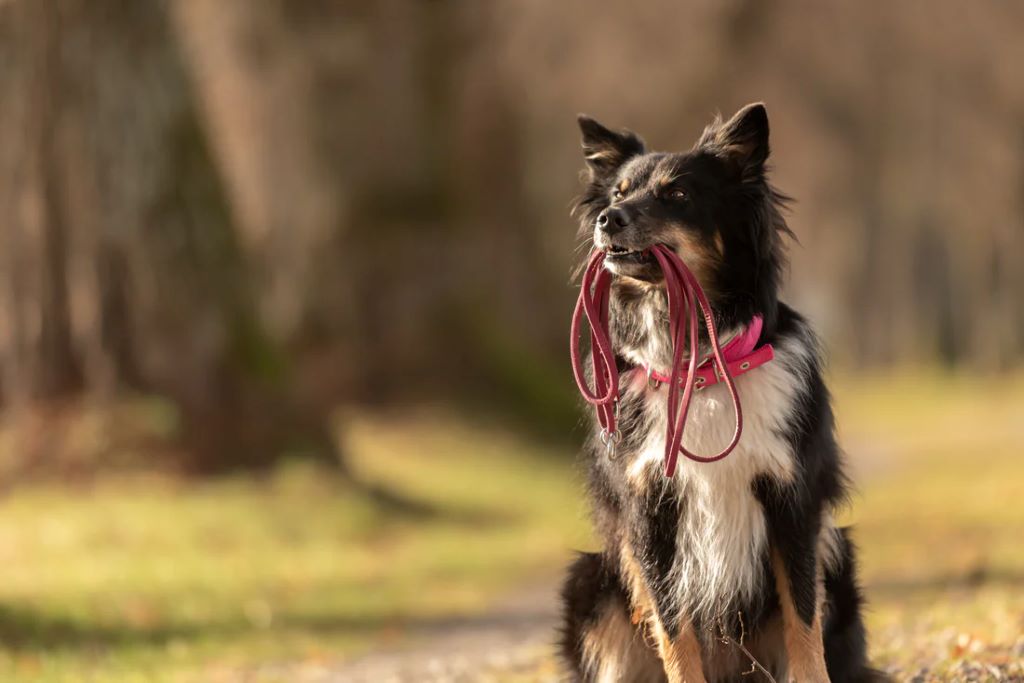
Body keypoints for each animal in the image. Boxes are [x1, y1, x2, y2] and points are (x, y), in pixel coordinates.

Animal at [557, 102, 884, 683]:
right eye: (618, 192)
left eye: (678, 194)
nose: (608, 219)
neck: (702, 372)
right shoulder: (650, 512)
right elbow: (675, 630)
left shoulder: (791, 502)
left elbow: (803, 620)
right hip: (590, 582)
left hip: (840, 558)